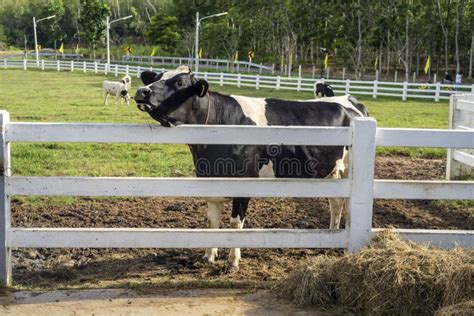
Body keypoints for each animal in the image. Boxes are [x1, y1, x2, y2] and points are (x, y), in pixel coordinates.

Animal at [134, 66, 370, 272]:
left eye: (179, 83)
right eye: (157, 76)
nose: (141, 91)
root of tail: (349, 100)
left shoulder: (244, 182)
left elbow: (235, 223)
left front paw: (233, 262)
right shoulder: (209, 179)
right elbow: (212, 221)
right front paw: (209, 256)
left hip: (348, 168)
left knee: (345, 205)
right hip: (331, 171)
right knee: (336, 203)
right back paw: (331, 237)